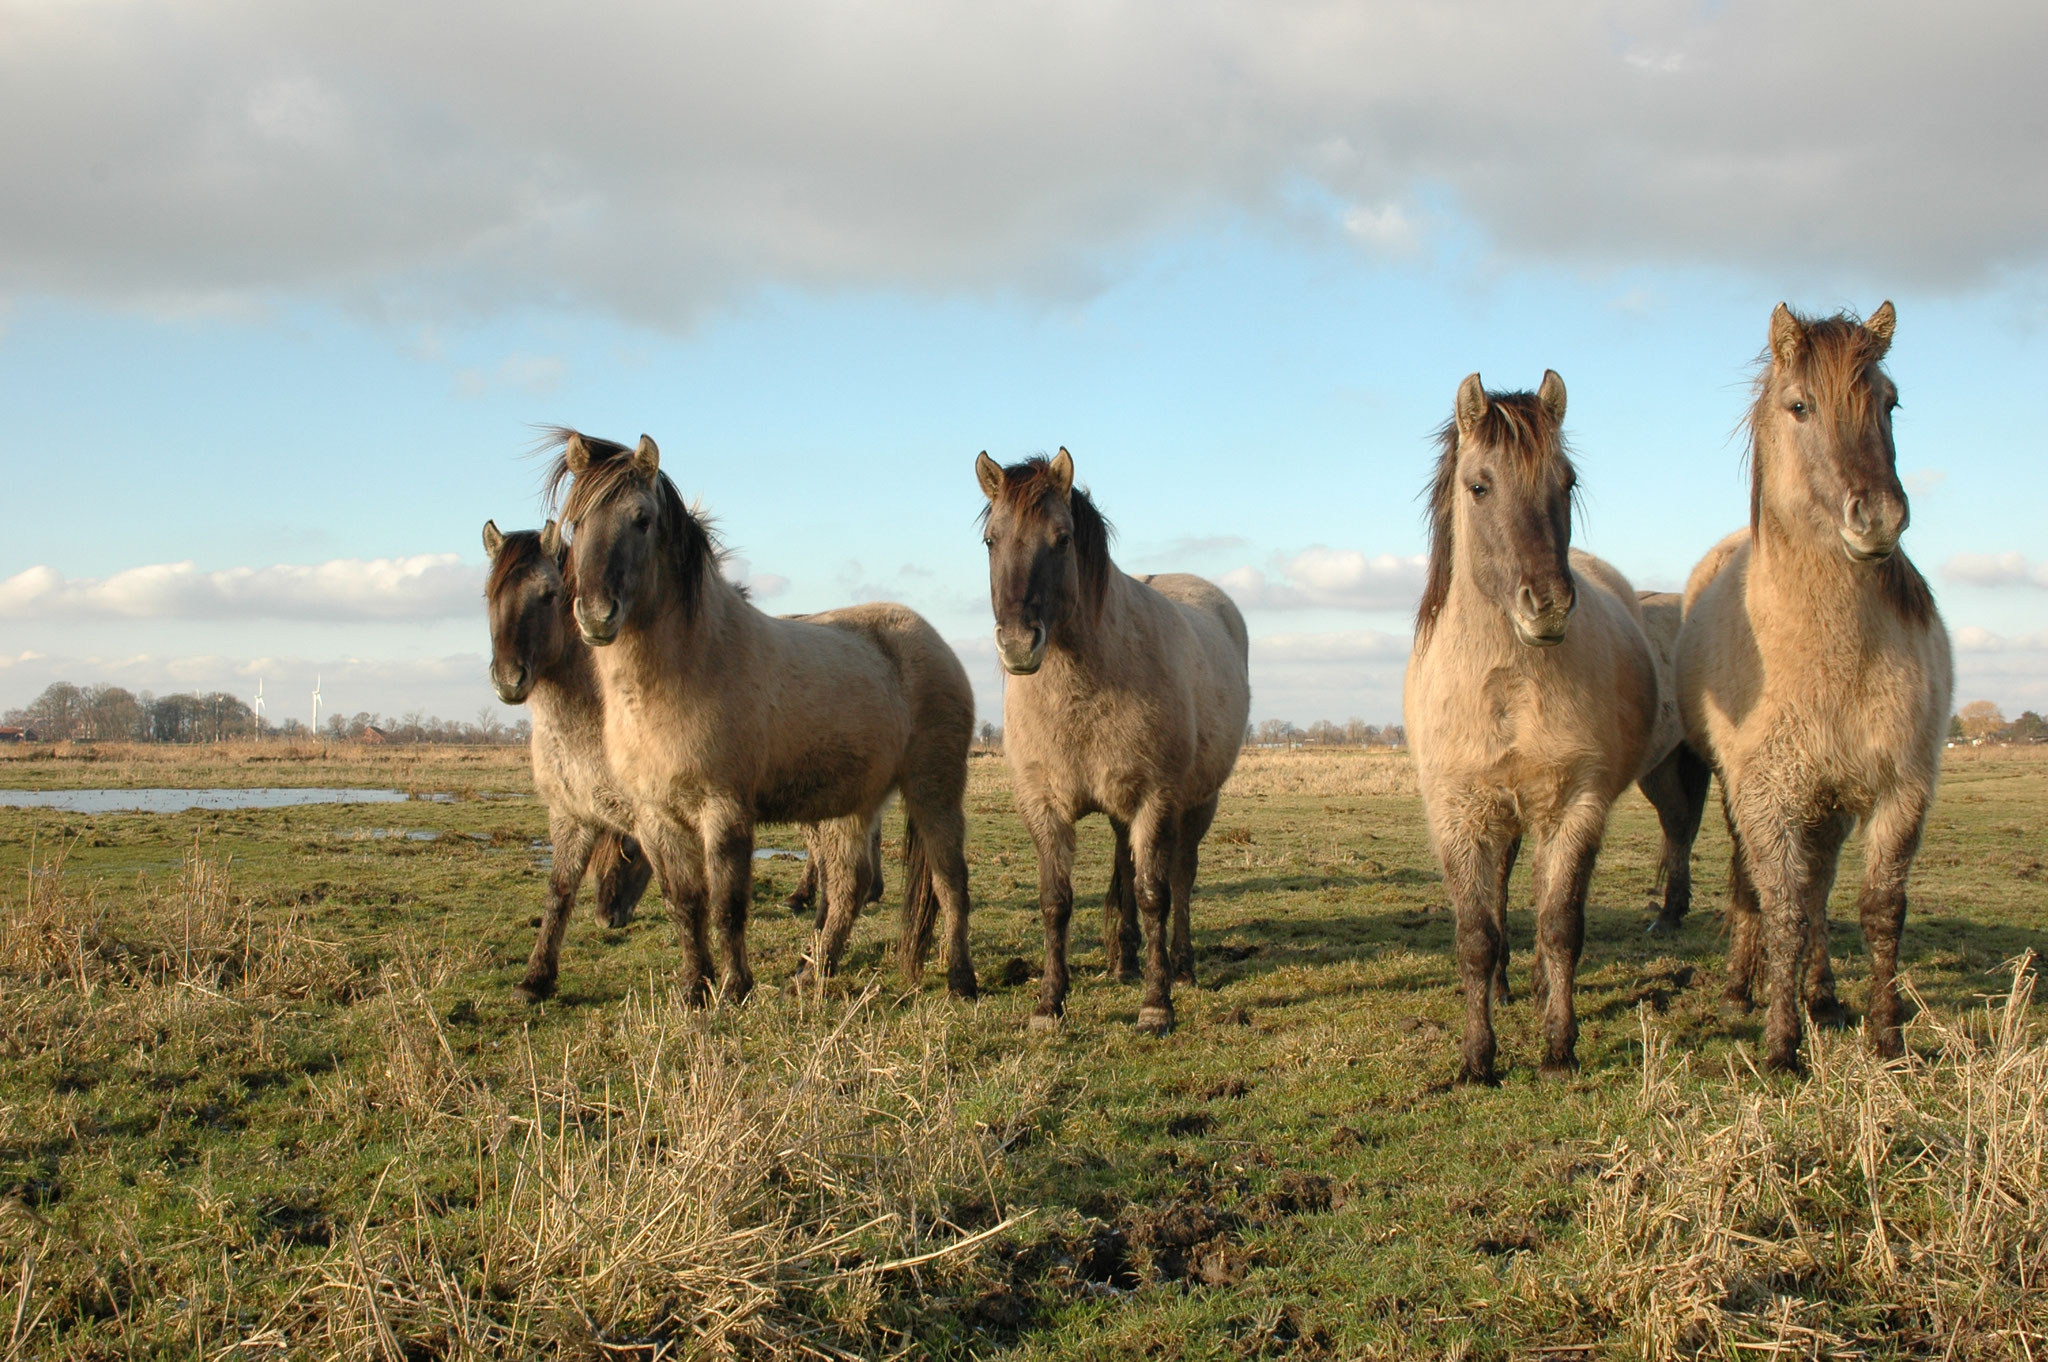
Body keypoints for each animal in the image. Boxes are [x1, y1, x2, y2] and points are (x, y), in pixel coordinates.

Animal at [479, 520, 647, 999]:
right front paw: (536, 979)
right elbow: (559, 889)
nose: (509, 679)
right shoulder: (571, 814)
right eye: (489, 595)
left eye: (547, 594)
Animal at [548, 428, 978, 999]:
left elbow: (728, 906)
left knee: (950, 881)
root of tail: (935, 641)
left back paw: (961, 979)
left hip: (934, 790)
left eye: (641, 518)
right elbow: (685, 905)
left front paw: (734, 988)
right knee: (850, 887)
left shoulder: (725, 809)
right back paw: (812, 973)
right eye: (576, 522)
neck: (690, 669)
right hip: (851, 804)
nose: (595, 615)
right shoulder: (657, 816)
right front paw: (695, 989)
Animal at [974, 446, 1245, 1032]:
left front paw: (1156, 1005)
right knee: (1124, 867)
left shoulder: (1156, 801)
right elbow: (1056, 900)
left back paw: (1182, 969)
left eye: (1062, 539)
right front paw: (1049, 1003)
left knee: (1182, 879)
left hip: (1198, 803)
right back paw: (1122, 962)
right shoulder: (1043, 804)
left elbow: (1153, 893)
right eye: (990, 540)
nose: (1018, 645)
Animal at [1400, 372, 1671, 1081]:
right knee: (1498, 894)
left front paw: (1558, 1046)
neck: (1509, 687)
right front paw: (1477, 1059)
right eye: (1479, 485)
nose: (1547, 605)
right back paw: (1500, 987)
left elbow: (1560, 923)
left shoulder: (1576, 806)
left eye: (1567, 482)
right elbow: (1475, 932)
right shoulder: (1457, 812)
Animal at [1679, 301, 1949, 1073]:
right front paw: (1779, 1045)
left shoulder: (1900, 790)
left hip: (1829, 804)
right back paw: (1744, 989)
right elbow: (1784, 911)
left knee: (1822, 887)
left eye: (1890, 402)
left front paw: (1886, 1038)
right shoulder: (1766, 797)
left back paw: (1822, 995)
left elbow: (1878, 910)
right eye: (1800, 406)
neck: (1833, 659)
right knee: (1759, 888)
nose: (1880, 516)